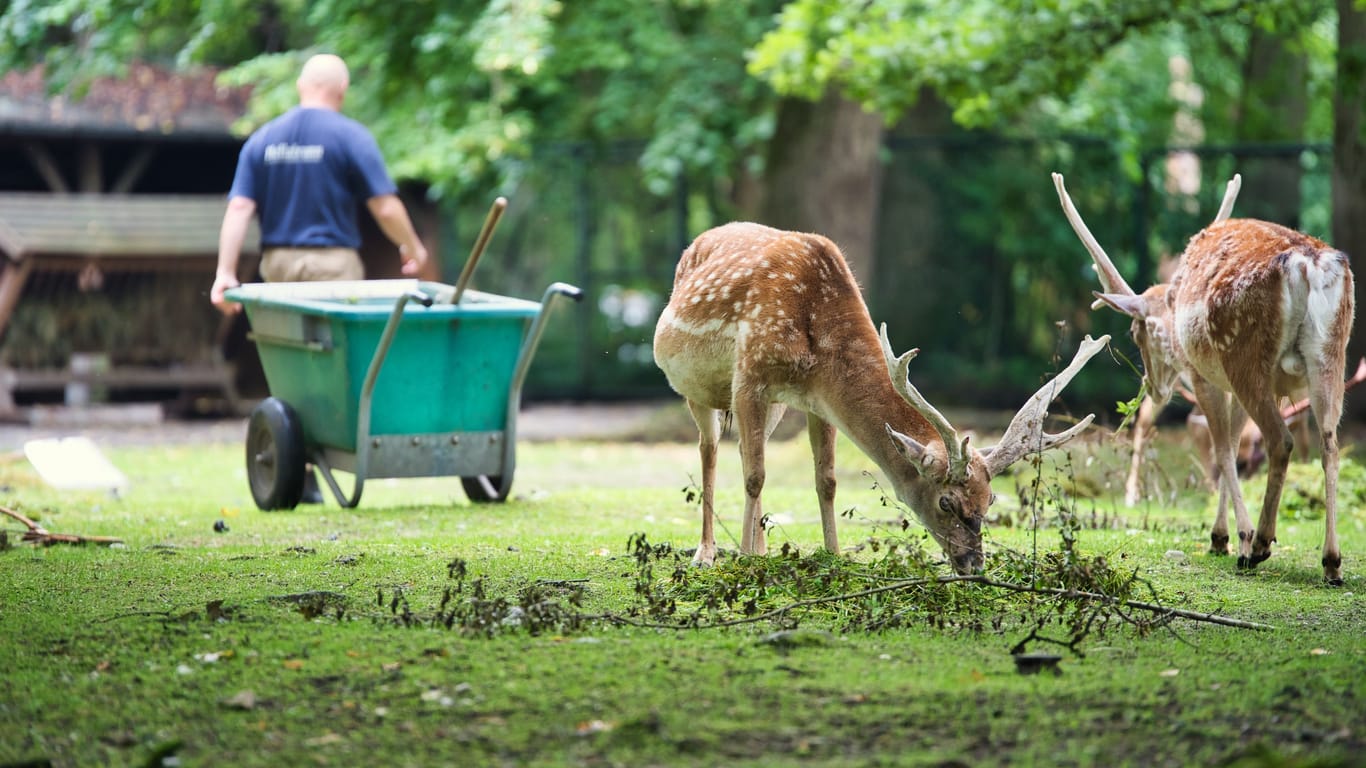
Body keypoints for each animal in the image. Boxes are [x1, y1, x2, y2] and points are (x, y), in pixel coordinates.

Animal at [650, 218, 1109, 571]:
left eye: (990, 498)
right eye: (946, 503)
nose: (973, 564)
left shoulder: (813, 402)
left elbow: (826, 480)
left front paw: (833, 556)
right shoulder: (749, 376)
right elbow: (754, 476)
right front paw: (746, 560)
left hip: (773, 407)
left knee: (748, 450)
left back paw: (758, 546)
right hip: (698, 389)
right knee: (710, 452)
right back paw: (707, 554)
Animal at [1054, 172, 1355, 579]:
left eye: (1135, 333)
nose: (1152, 387)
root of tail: (1309, 268)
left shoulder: (1202, 374)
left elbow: (1222, 449)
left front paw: (1237, 538)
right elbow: (1233, 443)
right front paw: (1220, 538)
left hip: (1245, 357)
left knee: (1281, 440)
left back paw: (1261, 544)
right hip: (1330, 359)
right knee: (1330, 446)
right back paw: (1331, 561)